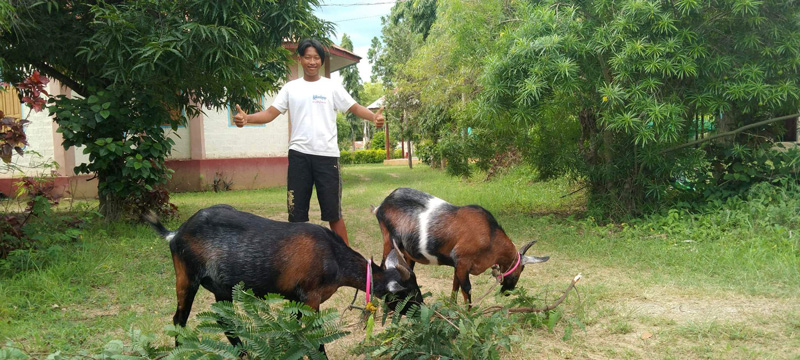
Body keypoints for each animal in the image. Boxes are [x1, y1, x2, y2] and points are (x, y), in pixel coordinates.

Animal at [145, 205, 422, 352]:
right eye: (408, 294)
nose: (423, 313)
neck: (333, 255)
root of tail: (176, 233)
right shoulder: (310, 297)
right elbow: (313, 336)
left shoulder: (296, 299)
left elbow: (295, 331)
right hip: (186, 278)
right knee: (179, 319)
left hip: (222, 289)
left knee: (224, 322)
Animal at [376, 190, 552, 306]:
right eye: (517, 274)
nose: (507, 292)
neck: (490, 235)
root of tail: (382, 205)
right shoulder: (462, 260)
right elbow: (467, 290)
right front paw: (469, 316)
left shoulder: (458, 265)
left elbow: (455, 286)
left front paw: (452, 308)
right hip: (388, 241)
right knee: (382, 265)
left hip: (406, 253)